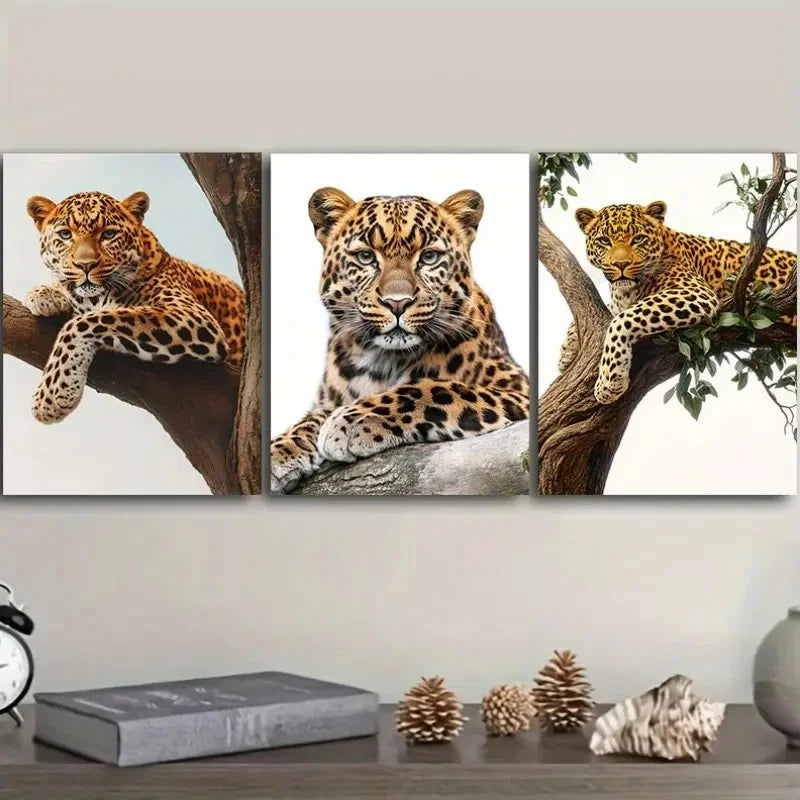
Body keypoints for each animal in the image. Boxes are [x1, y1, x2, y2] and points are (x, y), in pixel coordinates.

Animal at [23, 190, 246, 423]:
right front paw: (45, 294)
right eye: (65, 235)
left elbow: (86, 322)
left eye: (109, 234)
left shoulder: (192, 315)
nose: (85, 265)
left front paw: (53, 394)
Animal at [270, 187, 529, 493]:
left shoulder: (519, 389)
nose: (397, 303)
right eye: (366, 257)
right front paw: (279, 450)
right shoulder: (328, 399)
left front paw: (352, 420)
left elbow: (433, 388)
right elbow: (311, 418)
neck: (382, 359)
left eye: (429, 257)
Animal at [560, 200, 797, 404]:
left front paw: (610, 381)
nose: (621, 264)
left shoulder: (695, 292)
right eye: (604, 241)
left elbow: (621, 320)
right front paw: (565, 355)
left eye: (638, 239)